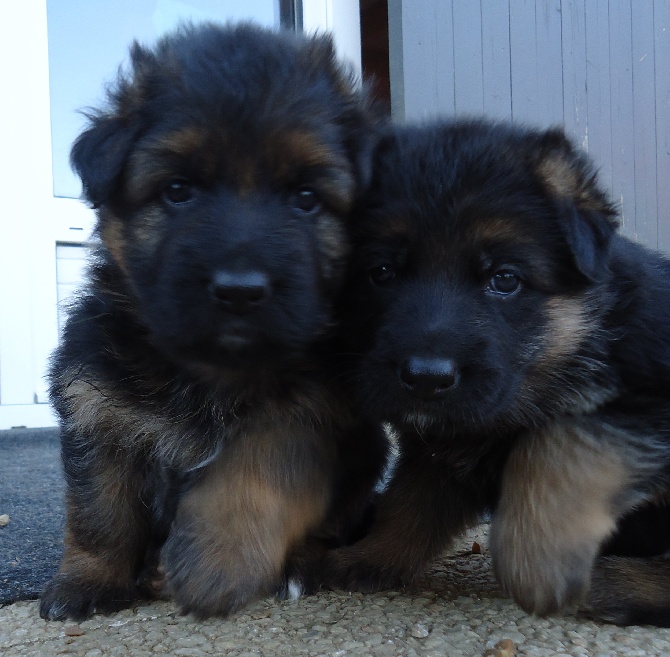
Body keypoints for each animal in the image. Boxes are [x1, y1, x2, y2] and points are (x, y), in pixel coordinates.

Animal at [40, 21, 388, 620]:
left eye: (305, 197)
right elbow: (99, 510)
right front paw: (88, 581)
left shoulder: (312, 410)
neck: (211, 368)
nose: (240, 290)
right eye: (178, 190)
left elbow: (253, 468)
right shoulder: (96, 403)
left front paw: (213, 563)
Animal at [328, 118, 670, 624]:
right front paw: (368, 557)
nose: (426, 378)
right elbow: (409, 506)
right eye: (382, 272)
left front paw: (539, 562)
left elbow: (557, 442)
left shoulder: (646, 402)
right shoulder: (442, 448)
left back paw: (614, 584)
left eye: (505, 279)